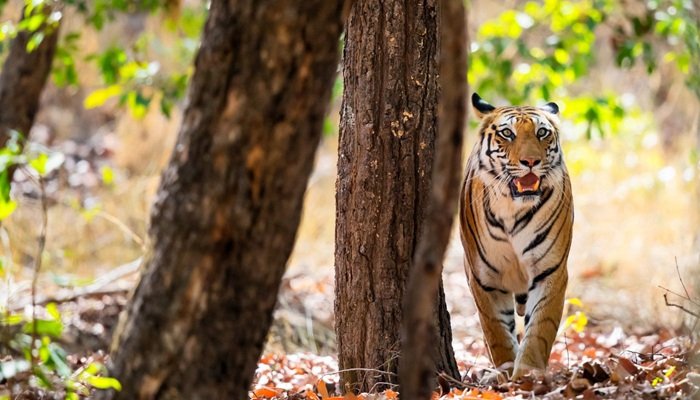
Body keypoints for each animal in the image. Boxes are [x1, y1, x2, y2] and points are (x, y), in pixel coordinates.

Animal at [459, 93, 574, 380]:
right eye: (507, 134)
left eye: (542, 132)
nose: (530, 162)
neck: (513, 209)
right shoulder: (483, 279)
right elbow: (497, 333)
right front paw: (506, 373)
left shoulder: (550, 272)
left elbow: (539, 331)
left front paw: (526, 377)